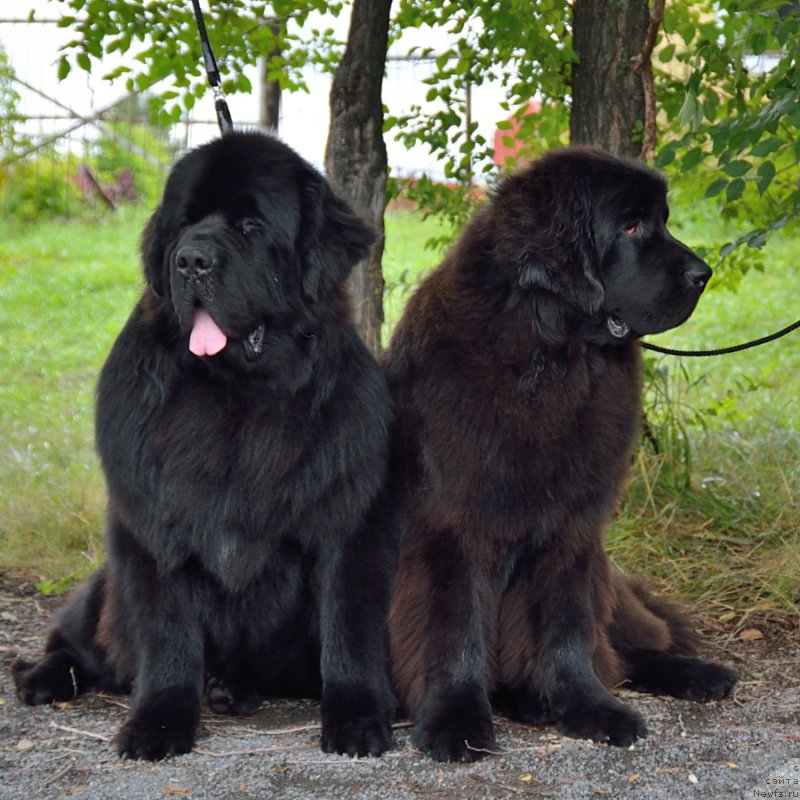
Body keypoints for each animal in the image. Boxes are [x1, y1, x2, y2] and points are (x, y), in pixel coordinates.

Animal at [10, 133, 398, 764]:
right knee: (77, 640)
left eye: (251, 225)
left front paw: (358, 716)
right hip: (101, 587)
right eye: (185, 222)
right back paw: (43, 677)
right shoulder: (153, 526)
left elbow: (348, 625)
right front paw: (160, 722)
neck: (236, 391)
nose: (191, 260)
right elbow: (167, 632)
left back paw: (231, 689)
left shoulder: (343, 522)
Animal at [386, 148, 736, 764]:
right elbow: (453, 626)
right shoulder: (453, 528)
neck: (550, 359)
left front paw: (587, 707)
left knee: (626, 648)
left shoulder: (573, 529)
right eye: (630, 226)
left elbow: (567, 626)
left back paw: (695, 673)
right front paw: (455, 719)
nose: (703, 274)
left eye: (663, 220)